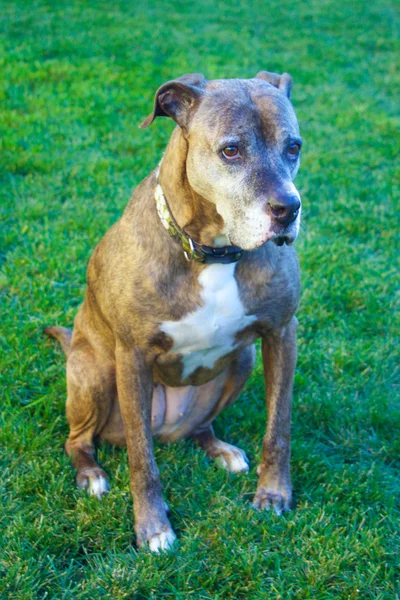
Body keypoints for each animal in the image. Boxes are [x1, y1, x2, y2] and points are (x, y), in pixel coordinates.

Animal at [45, 72, 302, 556]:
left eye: (293, 147)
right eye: (231, 150)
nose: (288, 209)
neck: (214, 252)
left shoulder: (281, 333)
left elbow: (278, 428)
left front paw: (274, 494)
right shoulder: (132, 357)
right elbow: (141, 459)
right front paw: (153, 527)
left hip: (242, 361)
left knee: (200, 426)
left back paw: (220, 449)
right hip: (96, 373)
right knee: (80, 440)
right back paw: (91, 474)